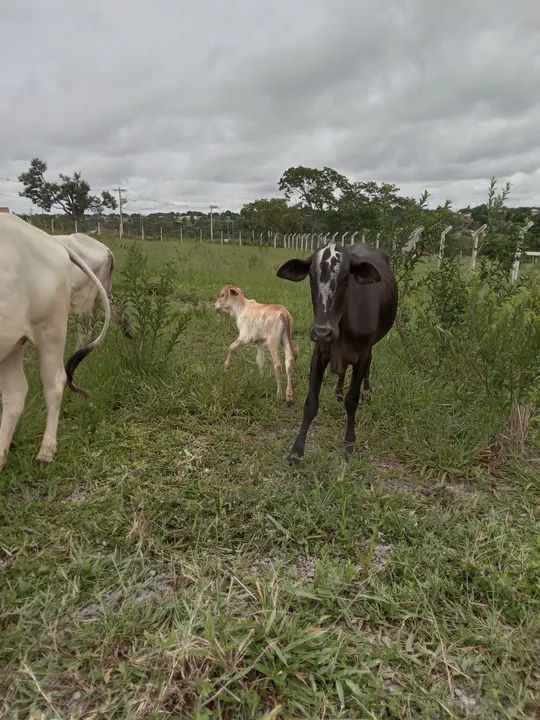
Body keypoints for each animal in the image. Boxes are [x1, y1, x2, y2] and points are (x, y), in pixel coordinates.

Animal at [276, 243, 398, 462]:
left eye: (346, 277)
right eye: (311, 276)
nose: (323, 331)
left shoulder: (362, 353)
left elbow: (352, 400)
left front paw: (349, 444)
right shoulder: (319, 353)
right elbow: (311, 404)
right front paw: (296, 450)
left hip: (371, 348)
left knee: (368, 366)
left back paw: (367, 392)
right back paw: (338, 391)